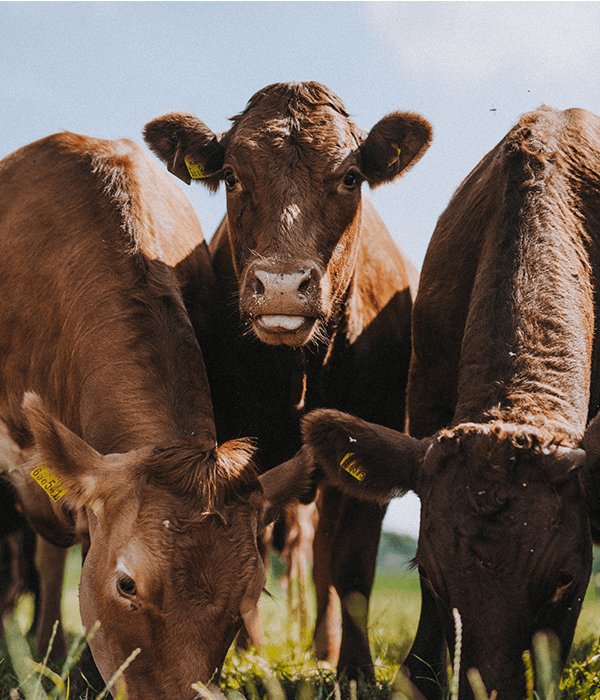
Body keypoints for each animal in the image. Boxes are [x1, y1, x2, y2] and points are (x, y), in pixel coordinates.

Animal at [142, 80, 432, 680]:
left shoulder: (370, 449)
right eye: (232, 176)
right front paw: (234, 658)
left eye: (351, 176)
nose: (280, 284)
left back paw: (323, 648)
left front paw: (354, 672)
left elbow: (351, 570)